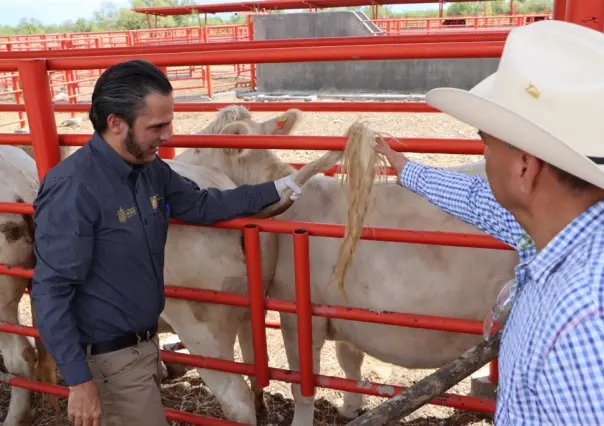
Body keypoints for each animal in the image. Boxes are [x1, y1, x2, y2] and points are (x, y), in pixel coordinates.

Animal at [176, 105, 520, 424]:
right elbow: (348, 359)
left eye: (198, 148)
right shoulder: (345, 309)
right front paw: (351, 407)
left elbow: (302, 383)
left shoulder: (297, 313)